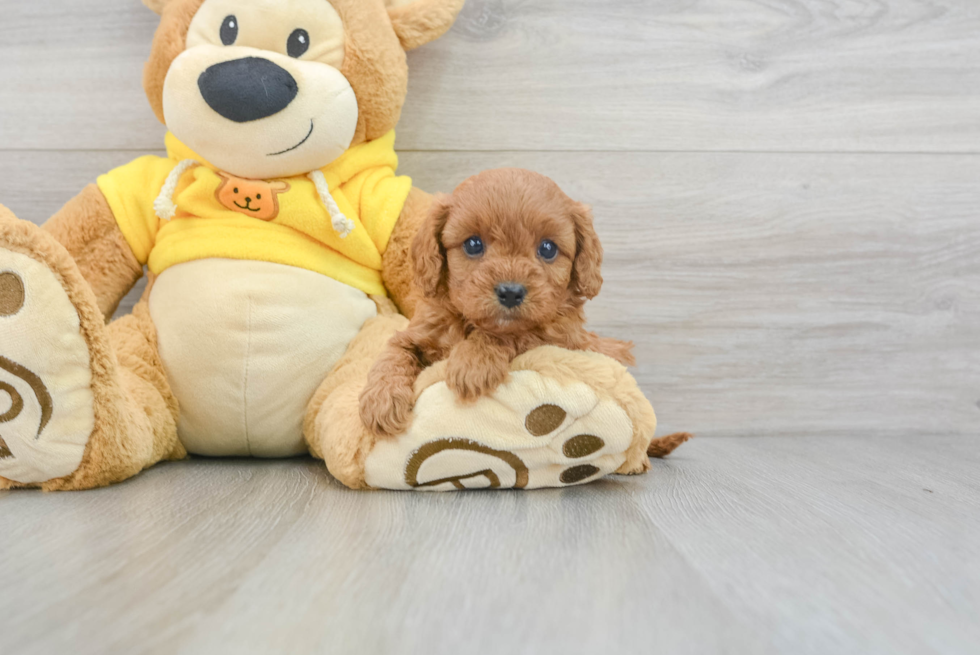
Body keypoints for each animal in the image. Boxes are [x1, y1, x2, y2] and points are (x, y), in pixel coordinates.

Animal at [360, 167, 636, 438]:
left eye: (548, 248)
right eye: (473, 244)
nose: (511, 293)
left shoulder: (562, 339)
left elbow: (515, 334)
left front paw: (473, 361)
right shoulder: (420, 331)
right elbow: (394, 352)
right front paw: (380, 400)